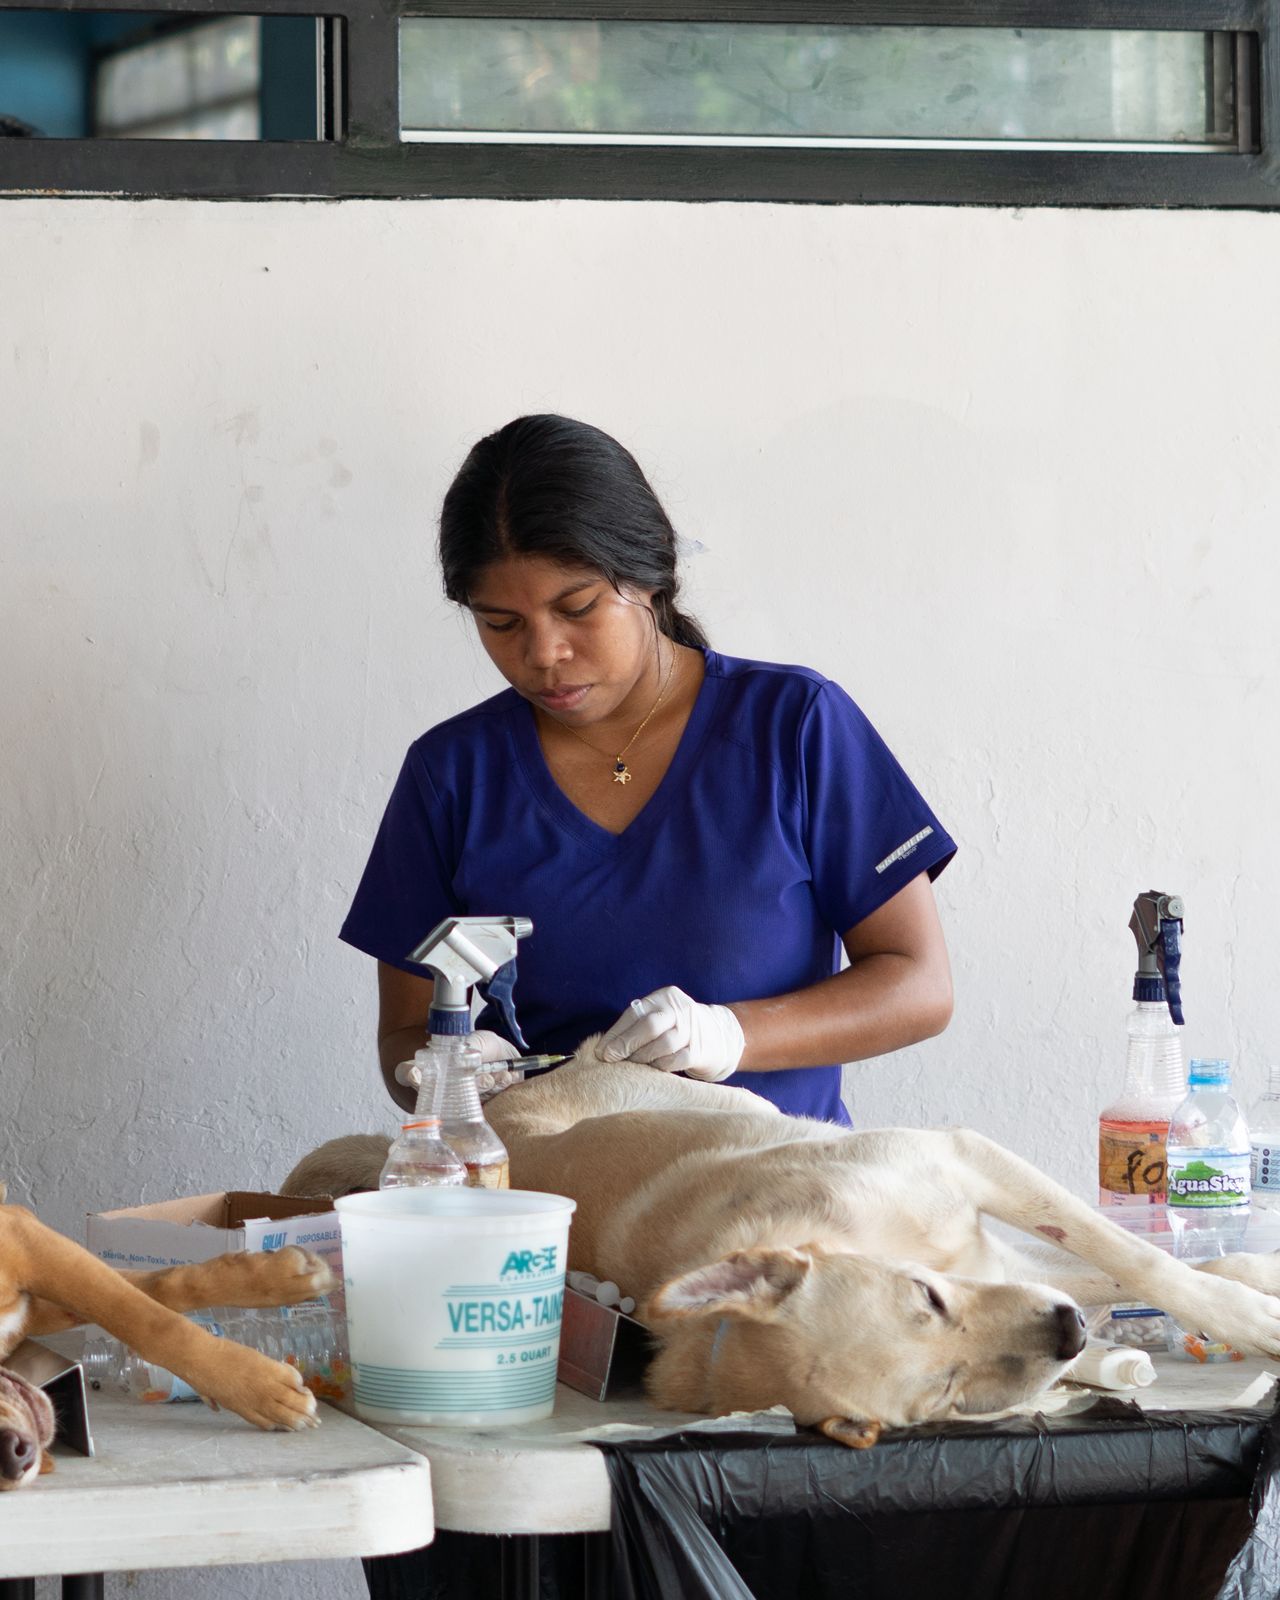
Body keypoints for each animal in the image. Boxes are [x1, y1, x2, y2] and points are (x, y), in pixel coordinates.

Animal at [283, 1044, 1280, 1447]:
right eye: (943, 1395)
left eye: (928, 1298)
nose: (1066, 1336)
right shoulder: (1002, 1270)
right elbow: (1135, 1277)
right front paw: (1116, 1358)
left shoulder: (969, 1167)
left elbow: (1153, 1261)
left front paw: (1251, 1311)